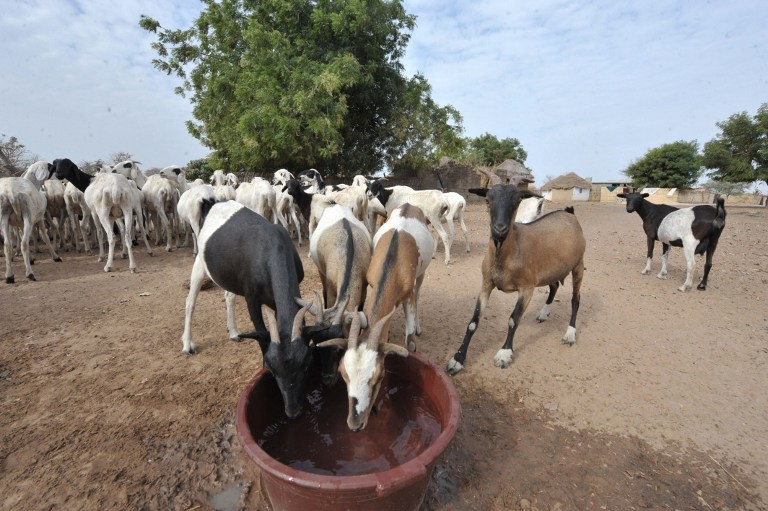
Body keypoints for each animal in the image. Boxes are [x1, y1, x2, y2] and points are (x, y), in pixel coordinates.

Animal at [318, 204, 436, 432]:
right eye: (344, 374)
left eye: (378, 377)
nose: (355, 424)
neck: (394, 263)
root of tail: (409, 206)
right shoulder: (372, 285)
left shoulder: (407, 295)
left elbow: (409, 341)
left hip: (422, 274)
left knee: (419, 292)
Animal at [444, 186, 588, 374]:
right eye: (487, 200)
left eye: (517, 201)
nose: (499, 229)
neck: (509, 253)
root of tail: (569, 213)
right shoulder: (486, 284)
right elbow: (473, 322)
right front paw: (457, 359)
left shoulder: (527, 288)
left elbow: (513, 319)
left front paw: (504, 354)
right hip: (552, 269)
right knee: (555, 285)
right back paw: (543, 314)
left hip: (578, 265)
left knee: (575, 299)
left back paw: (570, 334)